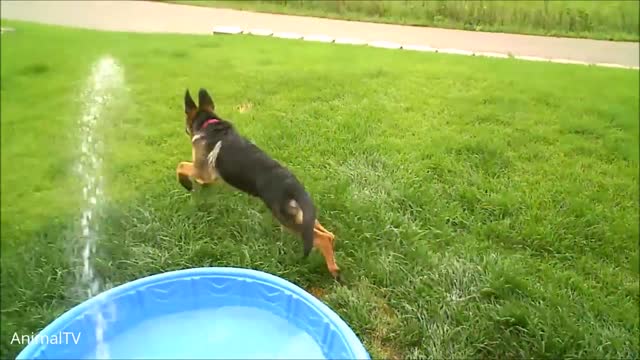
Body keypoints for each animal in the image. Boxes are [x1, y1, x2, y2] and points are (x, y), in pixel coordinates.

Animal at [175, 88, 340, 280]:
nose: (185, 130)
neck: (209, 123)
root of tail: (294, 187)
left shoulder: (203, 171)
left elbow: (181, 166)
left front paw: (186, 183)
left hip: (287, 220)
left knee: (323, 239)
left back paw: (334, 270)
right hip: (303, 217)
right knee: (329, 234)